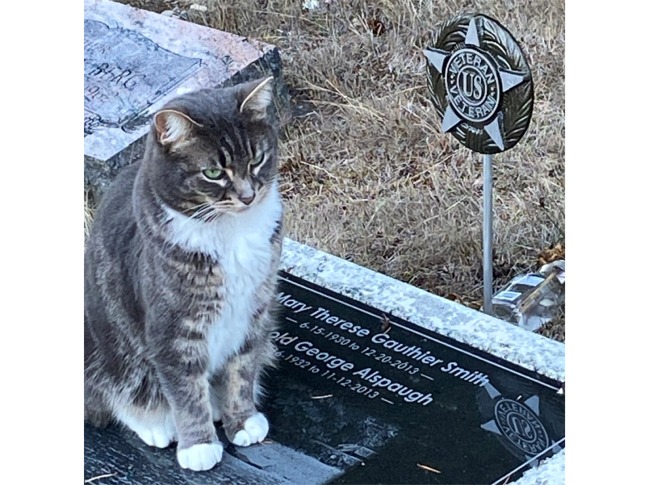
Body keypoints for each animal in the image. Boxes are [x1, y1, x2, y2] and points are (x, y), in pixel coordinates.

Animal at [83, 77, 280, 470]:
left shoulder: (255, 314)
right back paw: (156, 424)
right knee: (112, 393)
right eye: (214, 173)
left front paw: (242, 420)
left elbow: (242, 371)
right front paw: (198, 445)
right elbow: (186, 392)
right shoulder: (173, 331)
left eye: (256, 159)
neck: (231, 232)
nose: (248, 196)